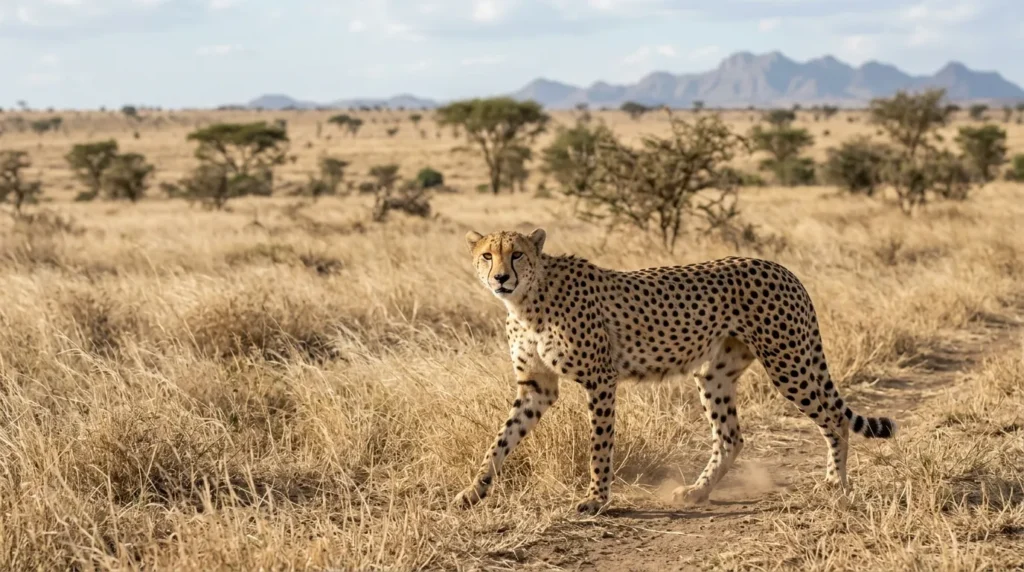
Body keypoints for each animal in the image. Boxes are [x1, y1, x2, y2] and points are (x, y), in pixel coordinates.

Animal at [453, 228, 896, 515]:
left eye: (517, 254)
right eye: (488, 255)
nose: (501, 278)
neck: (528, 299)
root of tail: (781, 268)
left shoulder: (600, 378)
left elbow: (600, 445)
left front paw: (597, 499)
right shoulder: (537, 386)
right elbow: (501, 439)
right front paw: (473, 491)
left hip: (788, 362)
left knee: (834, 418)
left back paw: (836, 484)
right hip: (714, 374)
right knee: (731, 437)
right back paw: (697, 493)